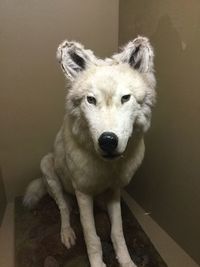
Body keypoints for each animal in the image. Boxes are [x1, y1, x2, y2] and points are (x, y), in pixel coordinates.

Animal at [23, 36, 156, 267]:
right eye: (91, 100)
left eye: (126, 98)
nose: (108, 141)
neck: (109, 167)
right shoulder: (83, 193)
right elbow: (91, 236)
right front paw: (97, 261)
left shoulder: (114, 192)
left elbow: (118, 231)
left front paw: (126, 260)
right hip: (48, 168)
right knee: (64, 208)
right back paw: (67, 233)